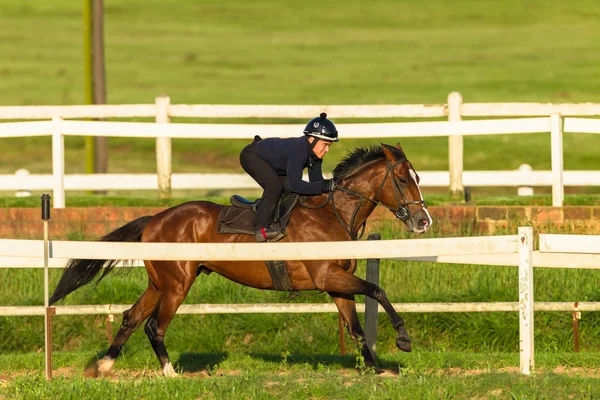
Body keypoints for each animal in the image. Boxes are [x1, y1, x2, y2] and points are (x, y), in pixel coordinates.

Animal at [48, 142, 432, 376]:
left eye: (417, 177)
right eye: (402, 179)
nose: (423, 221)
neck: (333, 213)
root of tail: (154, 219)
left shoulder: (335, 284)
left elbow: (355, 328)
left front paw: (377, 368)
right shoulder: (326, 276)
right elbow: (377, 291)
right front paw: (403, 340)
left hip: (160, 283)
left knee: (131, 318)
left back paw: (105, 366)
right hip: (177, 284)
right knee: (155, 325)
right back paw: (170, 373)